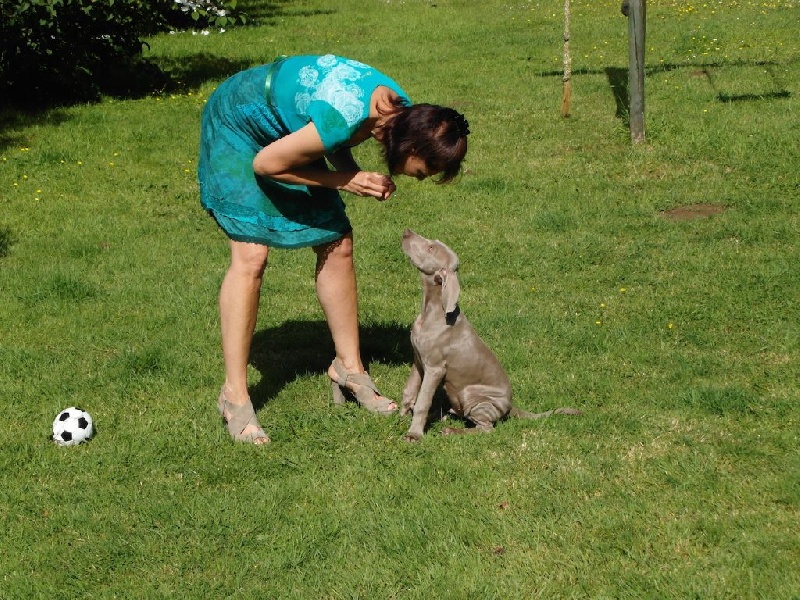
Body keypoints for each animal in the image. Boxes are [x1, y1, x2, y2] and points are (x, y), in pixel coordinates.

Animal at [400, 230, 580, 440]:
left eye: (431, 248)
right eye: (432, 243)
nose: (406, 232)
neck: (431, 309)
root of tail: (510, 407)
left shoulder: (434, 368)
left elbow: (423, 401)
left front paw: (414, 434)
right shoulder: (419, 360)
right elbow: (409, 390)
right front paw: (401, 416)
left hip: (473, 395)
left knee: (485, 429)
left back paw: (452, 430)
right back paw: (441, 416)